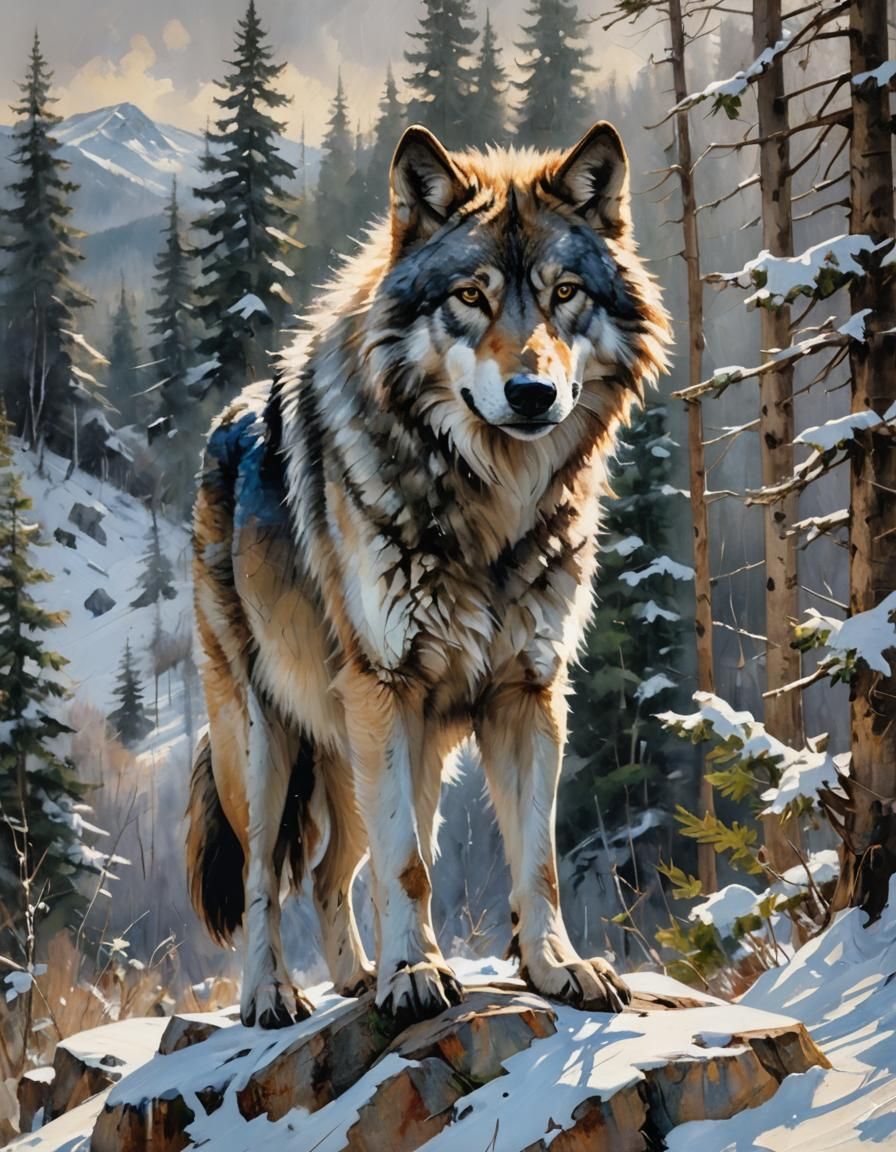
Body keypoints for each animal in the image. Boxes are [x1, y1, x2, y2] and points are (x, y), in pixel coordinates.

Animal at [187, 121, 672, 1029]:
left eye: (563, 294)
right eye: (471, 297)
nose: (532, 391)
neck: (489, 513)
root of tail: (226, 423)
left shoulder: (527, 692)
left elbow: (536, 861)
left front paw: (556, 968)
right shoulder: (386, 691)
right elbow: (404, 865)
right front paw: (414, 975)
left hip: (389, 756)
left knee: (330, 871)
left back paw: (354, 979)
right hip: (268, 745)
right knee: (271, 876)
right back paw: (274, 995)